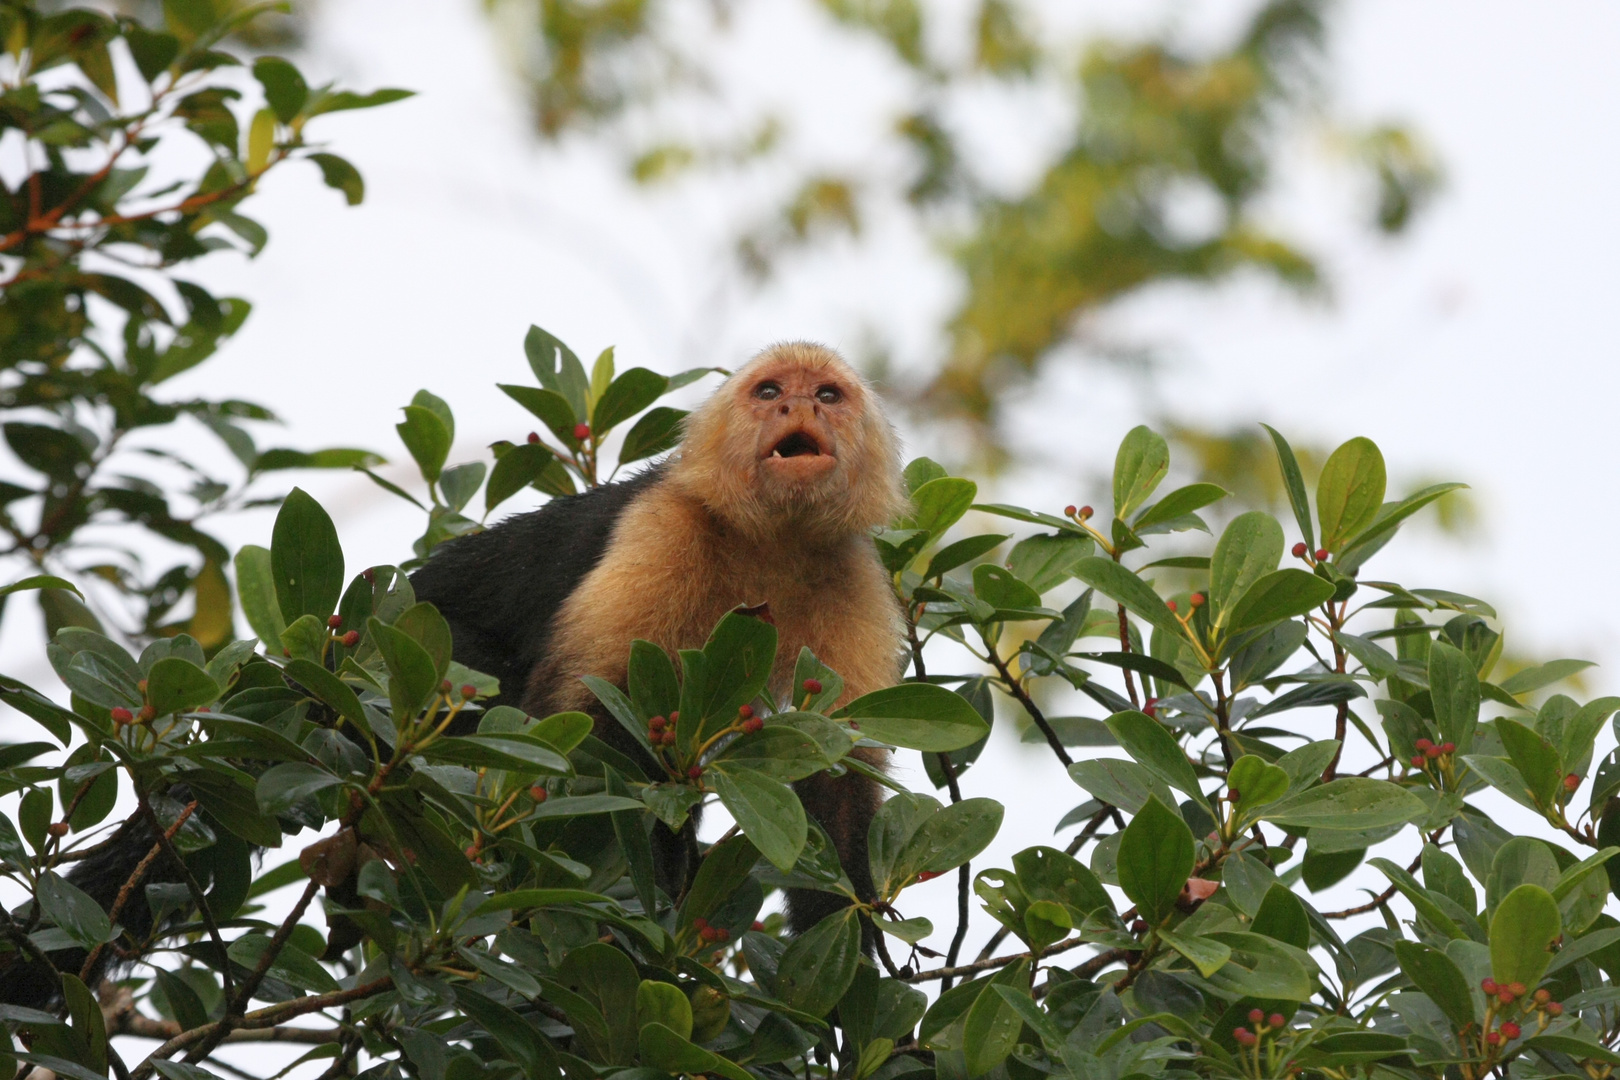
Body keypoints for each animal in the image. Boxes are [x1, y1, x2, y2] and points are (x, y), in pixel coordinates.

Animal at [411, 344, 907, 932]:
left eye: (828, 396)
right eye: (769, 392)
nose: (800, 405)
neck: (771, 540)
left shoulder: (854, 571)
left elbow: (838, 764)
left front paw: (846, 930)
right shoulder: (661, 525)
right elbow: (584, 718)